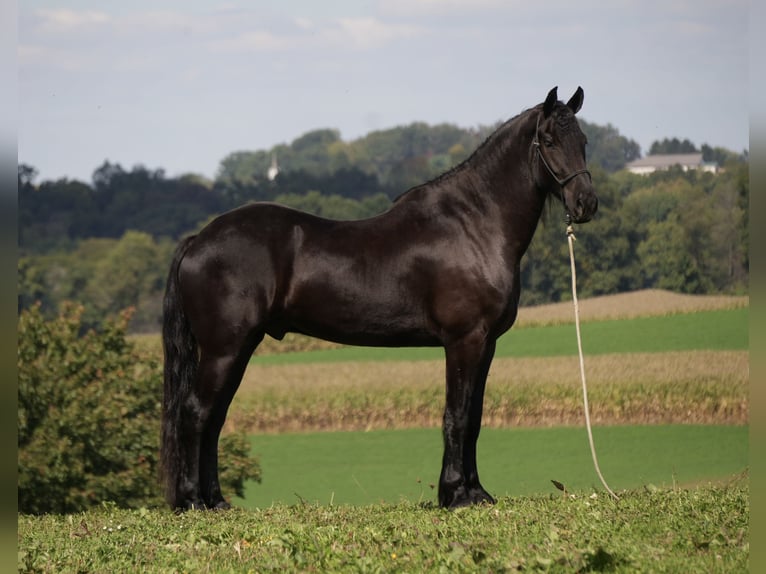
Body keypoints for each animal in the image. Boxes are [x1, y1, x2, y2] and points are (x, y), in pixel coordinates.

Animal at [161, 86, 598, 510]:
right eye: (548, 140)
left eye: (583, 141)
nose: (586, 204)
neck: (474, 225)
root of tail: (198, 240)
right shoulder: (464, 341)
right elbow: (456, 416)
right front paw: (455, 495)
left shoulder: (486, 344)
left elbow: (473, 418)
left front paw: (476, 493)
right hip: (224, 349)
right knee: (196, 413)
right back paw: (192, 500)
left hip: (240, 347)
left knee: (215, 419)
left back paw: (216, 501)